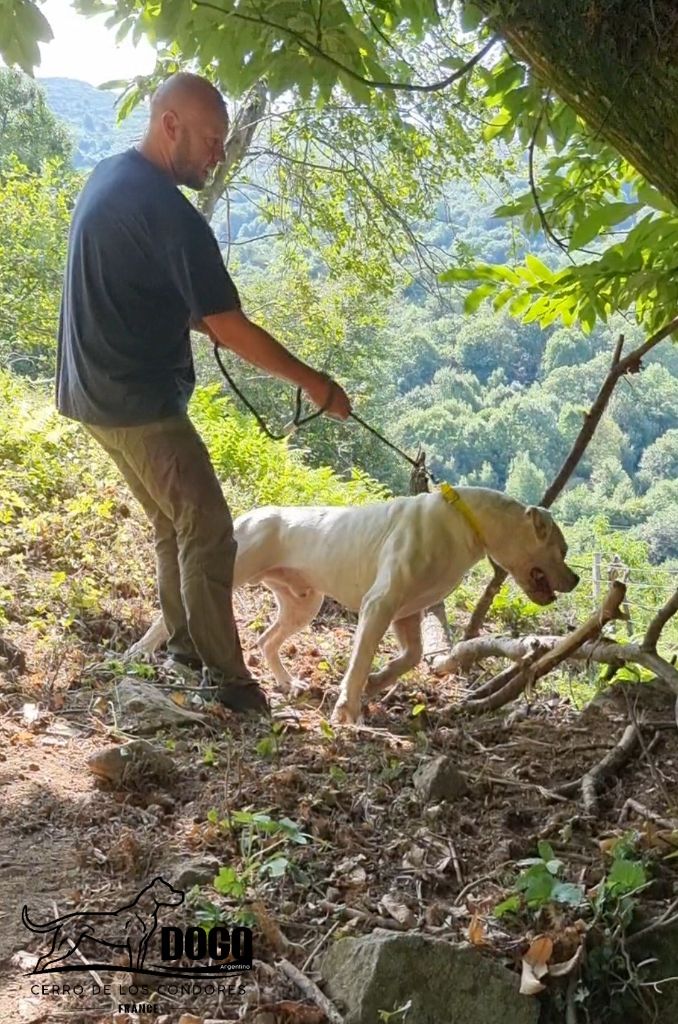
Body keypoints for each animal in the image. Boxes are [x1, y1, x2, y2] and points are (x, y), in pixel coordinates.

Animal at [129, 485, 577, 720]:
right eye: (563, 549)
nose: (574, 579)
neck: (467, 521)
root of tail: (250, 514)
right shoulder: (380, 605)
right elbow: (360, 662)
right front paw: (348, 710)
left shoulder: (406, 613)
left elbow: (410, 658)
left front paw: (378, 683)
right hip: (232, 571)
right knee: (170, 616)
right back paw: (142, 650)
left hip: (303, 603)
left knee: (266, 641)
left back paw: (288, 683)